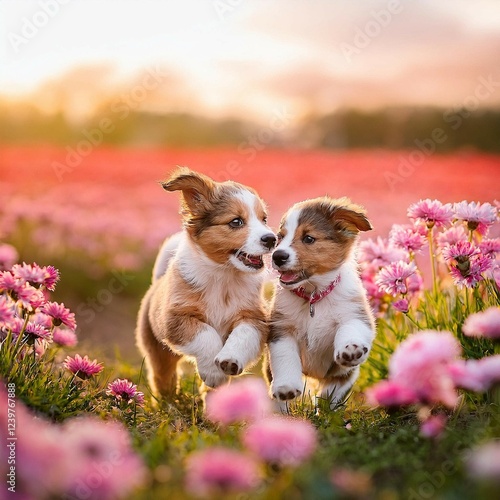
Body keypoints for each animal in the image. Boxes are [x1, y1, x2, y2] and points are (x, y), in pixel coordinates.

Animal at [137, 168, 276, 398]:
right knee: (162, 378)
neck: (223, 276)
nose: (272, 239)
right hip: (158, 351)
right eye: (236, 221)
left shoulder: (255, 318)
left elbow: (243, 335)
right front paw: (213, 372)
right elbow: (206, 334)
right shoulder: (176, 318)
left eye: (264, 219)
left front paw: (229, 361)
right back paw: (168, 402)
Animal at [268, 197, 374, 408]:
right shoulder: (281, 328)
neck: (314, 297)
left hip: (343, 376)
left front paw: (351, 349)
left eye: (308, 238)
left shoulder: (355, 314)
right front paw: (286, 387)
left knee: (330, 393)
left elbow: (350, 328)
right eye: (279, 238)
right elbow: (285, 356)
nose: (277, 256)